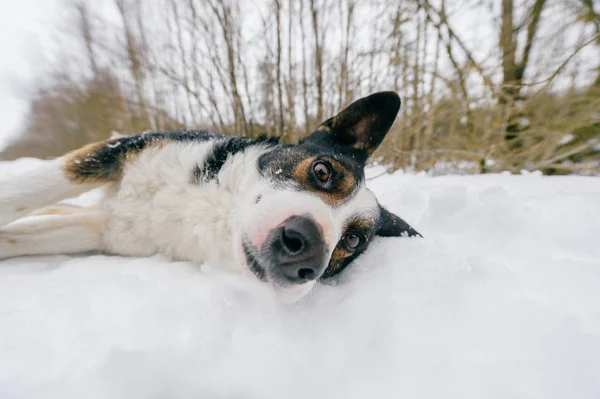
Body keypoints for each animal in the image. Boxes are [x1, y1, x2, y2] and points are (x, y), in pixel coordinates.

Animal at [0, 91, 420, 304]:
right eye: (322, 171)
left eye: (353, 241)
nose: (306, 254)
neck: (215, 210)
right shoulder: (120, 150)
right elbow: (22, 192)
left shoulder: (104, 231)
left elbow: (19, 235)